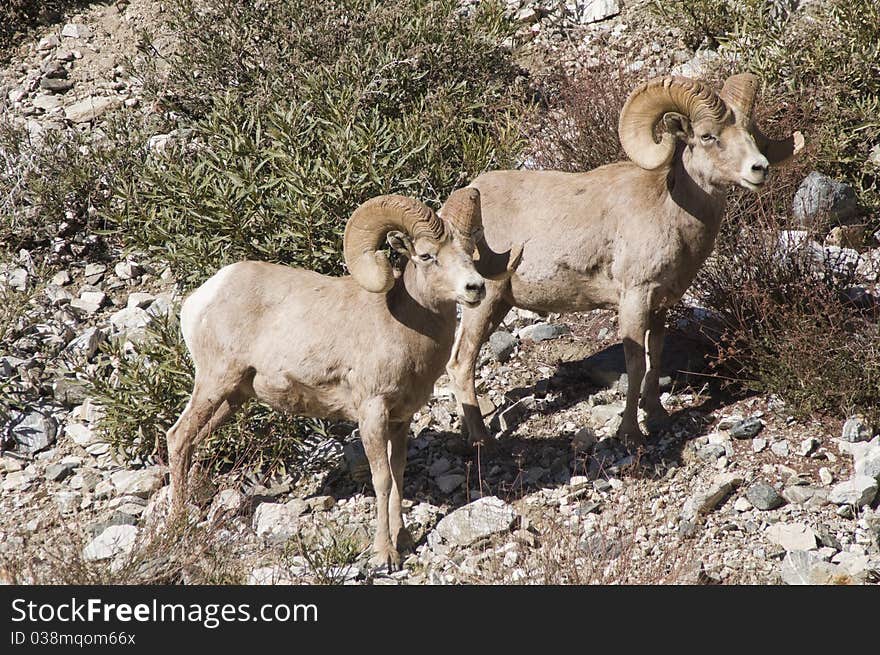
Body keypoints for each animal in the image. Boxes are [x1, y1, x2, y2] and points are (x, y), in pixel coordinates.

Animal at [165, 188, 520, 568]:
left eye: (470, 252)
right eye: (427, 255)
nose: (475, 288)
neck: (404, 327)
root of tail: (201, 297)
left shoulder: (401, 419)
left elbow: (398, 474)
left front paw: (404, 540)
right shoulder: (372, 413)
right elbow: (382, 480)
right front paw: (385, 555)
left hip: (232, 397)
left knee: (191, 442)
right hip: (214, 383)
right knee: (178, 437)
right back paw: (178, 524)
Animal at [450, 73, 800, 452]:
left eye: (750, 131)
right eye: (708, 136)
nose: (759, 169)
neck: (670, 211)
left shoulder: (661, 304)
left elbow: (655, 356)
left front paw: (658, 416)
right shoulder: (634, 299)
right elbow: (635, 365)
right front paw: (630, 433)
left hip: (499, 305)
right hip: (484, 303)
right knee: (461, 363)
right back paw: (481, 440)